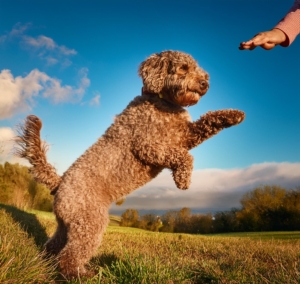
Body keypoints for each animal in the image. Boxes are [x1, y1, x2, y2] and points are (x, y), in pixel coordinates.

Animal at [14, 50, 245, 278]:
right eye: (183, 68)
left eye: (197, 69)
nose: (205, 83)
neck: (161, 101)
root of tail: (59, 182)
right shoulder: (149, 146)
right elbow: (183, 156)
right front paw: (183, 178)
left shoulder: (184, 136)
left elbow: (207, 122)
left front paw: (233, 115)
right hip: (90, 222)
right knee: (70, 255)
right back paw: (80, 275)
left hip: (68, 224)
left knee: (53, 245)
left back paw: (45, 263)